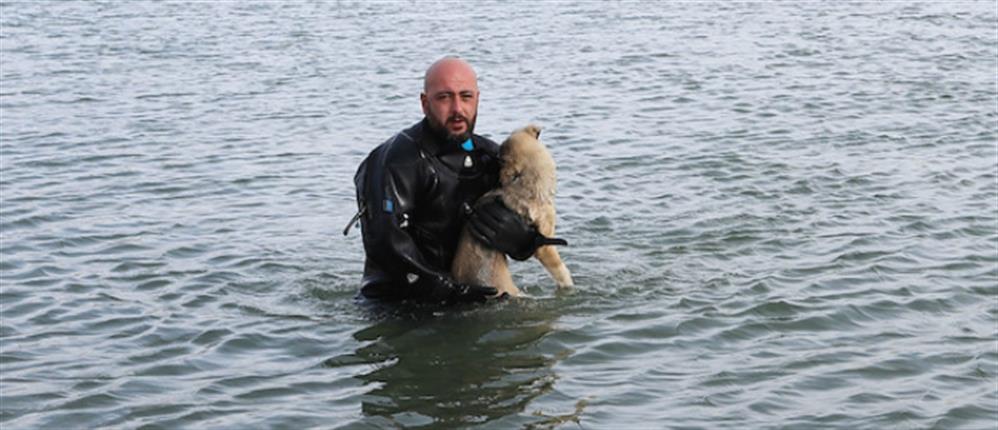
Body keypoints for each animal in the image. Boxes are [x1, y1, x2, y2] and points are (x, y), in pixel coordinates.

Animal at [452, 125, 576, 296]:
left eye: (498, 156)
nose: (490, 156)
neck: (526, 184)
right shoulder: (544, 244)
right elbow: (560, 268)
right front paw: (568, 285)